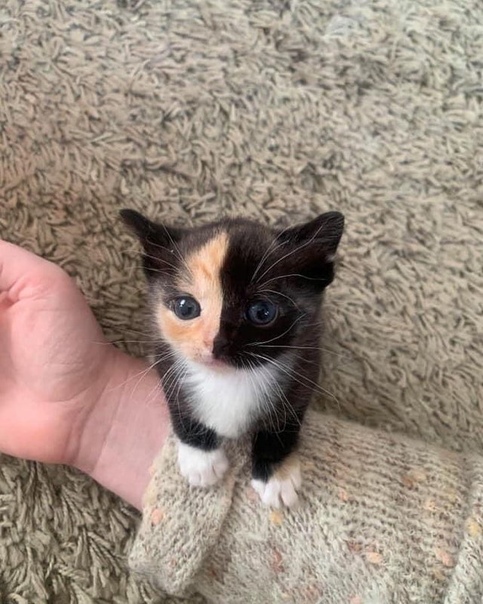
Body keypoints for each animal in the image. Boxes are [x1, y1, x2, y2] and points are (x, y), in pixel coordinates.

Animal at [121, 209, 344, 508]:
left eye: (262, 312)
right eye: (185, 308)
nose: (216, 343)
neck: (230, 378)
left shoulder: (307, 362)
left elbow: (284, 420)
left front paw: (276, 474)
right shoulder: (164, 356)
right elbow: (179, 404)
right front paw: (201, 459)